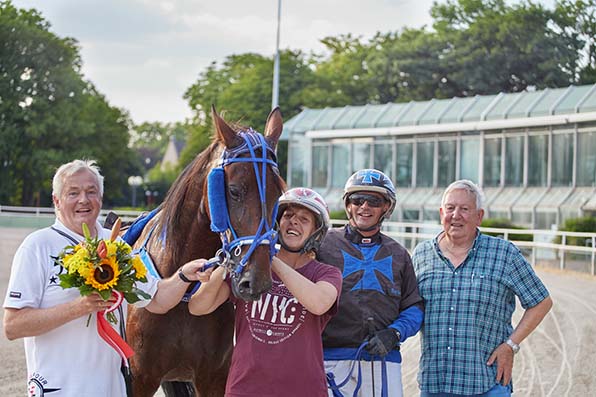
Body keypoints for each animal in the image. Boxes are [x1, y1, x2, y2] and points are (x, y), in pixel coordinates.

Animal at [125, 106, 286, 394]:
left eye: (278, 192)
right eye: (233, 190)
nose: (255, 280)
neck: (181, 294)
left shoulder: (213, 377)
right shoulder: (140, 378)